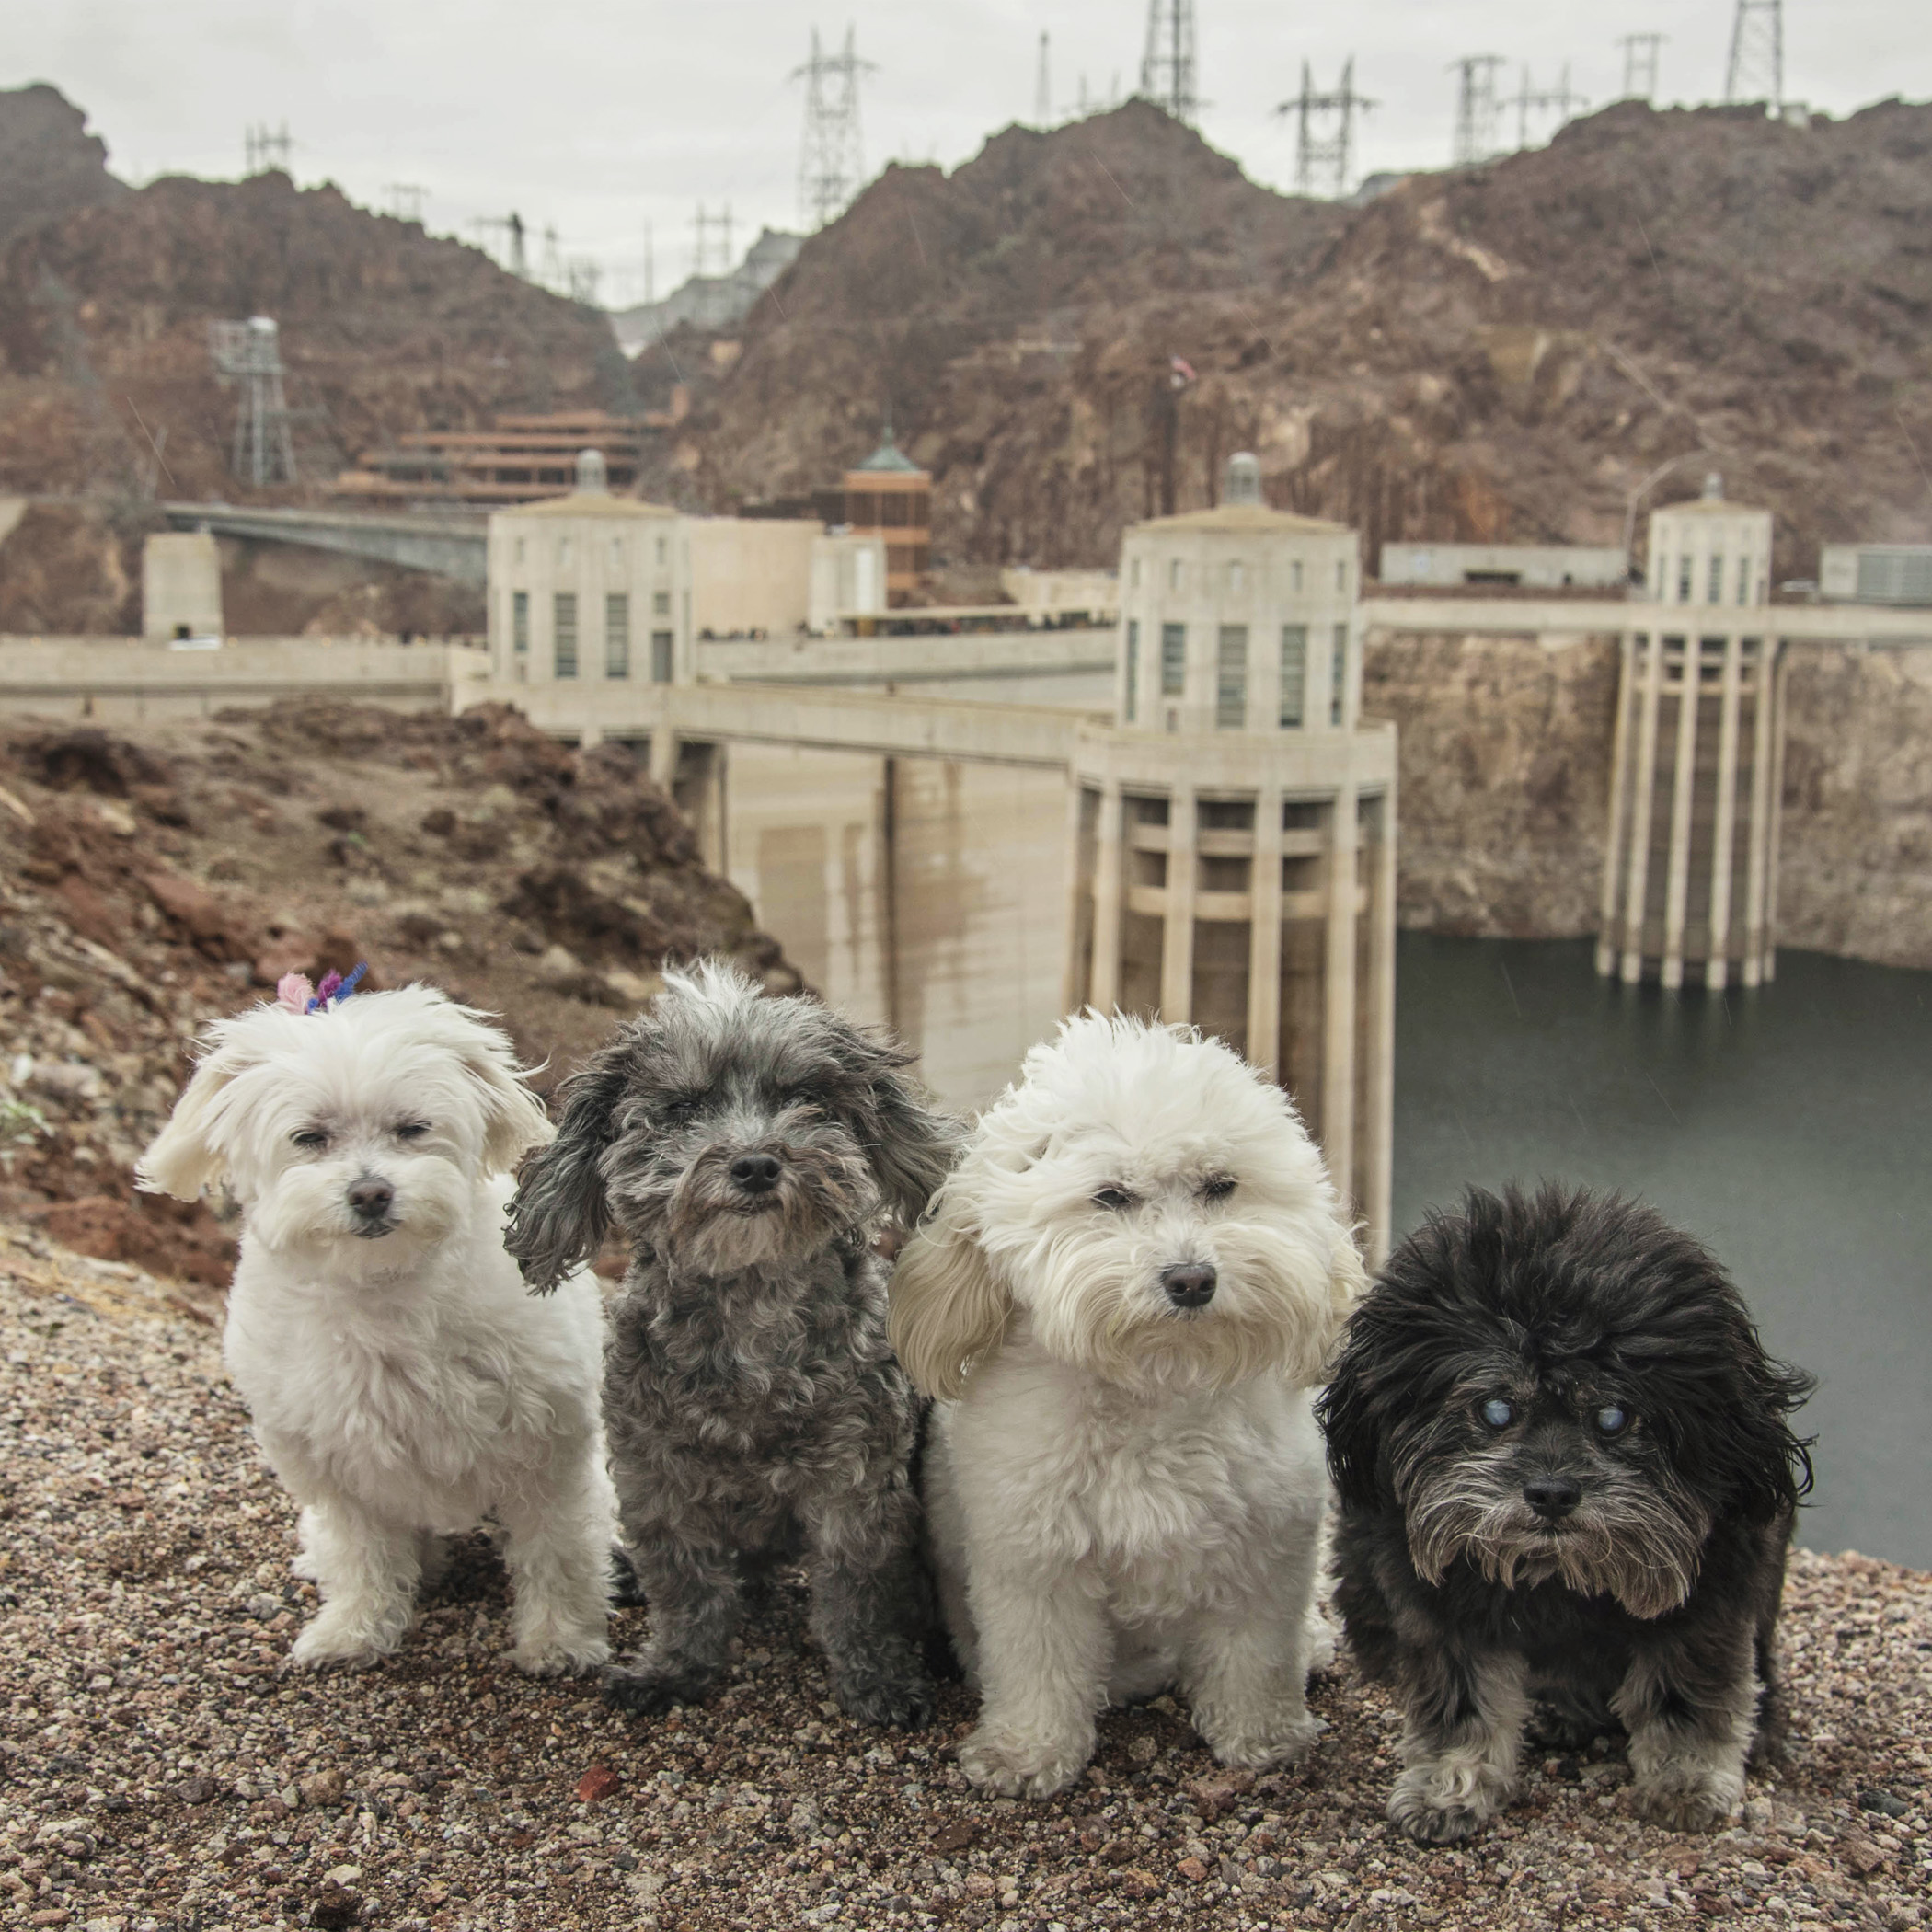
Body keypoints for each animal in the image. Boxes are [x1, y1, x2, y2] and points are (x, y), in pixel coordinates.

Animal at [138, 981, 610, 1676]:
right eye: (309, 1137)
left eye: (411, 1129)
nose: (369, 1194)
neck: (382, 1289)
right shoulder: (338, 1465)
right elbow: (362, 1555)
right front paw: (353, 1631)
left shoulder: (547, 1448)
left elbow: (557, 1548)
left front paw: (559, 1641)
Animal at [498, 958, 950, 1731]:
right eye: (682, 1109)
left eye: (804, 1097)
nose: (757, 1164)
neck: (750, 1313)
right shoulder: (656, 1479)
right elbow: (685, 1586)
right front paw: (677, 1668)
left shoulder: (856, 1480)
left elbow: (860, 1593)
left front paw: (880, 1681)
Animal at [888, 1012, 1360, 1792]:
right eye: (1110, 1196)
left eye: (1221, 1185)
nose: (1192, 1279)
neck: (1154, 1384)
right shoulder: (1034, 1564)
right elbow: (1039, 1666)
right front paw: (1028, 1753)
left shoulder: (1265, 1554)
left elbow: (1255, 1658)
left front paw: (1264, 1738)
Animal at [1313, 1174, 1808, 1839]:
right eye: (1496, 1409)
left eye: (1614, 1417)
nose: (1551, 1495)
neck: (1557, 1575)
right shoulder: (1440, 1607)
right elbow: (1461, 1704)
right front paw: (1451, 1785)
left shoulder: (1709, 1601)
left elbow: (1685, 1693)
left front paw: (1688, 1778)